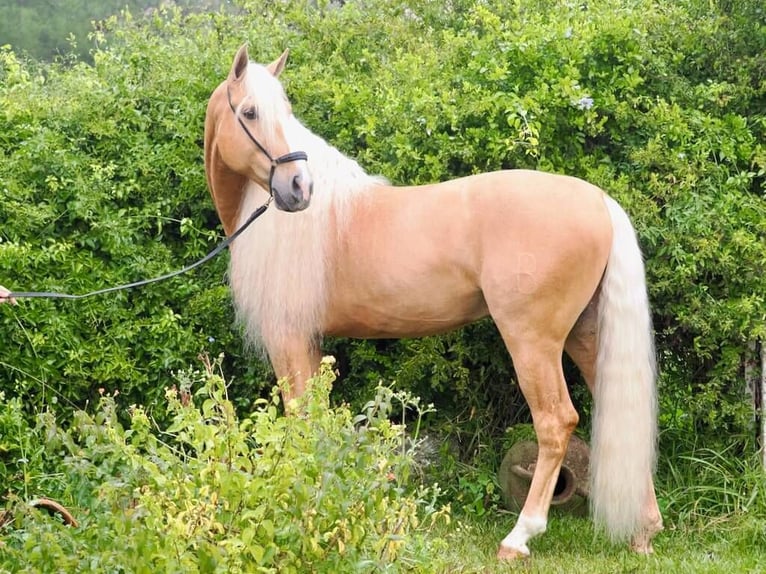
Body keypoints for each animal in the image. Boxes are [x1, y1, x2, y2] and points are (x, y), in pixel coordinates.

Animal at [206, 46, 664, 564]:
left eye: (283, 111)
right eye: (250, 113)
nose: (299, 188)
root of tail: (599, 200)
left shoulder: (286, 336)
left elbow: (300, 418)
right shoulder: (307, 340)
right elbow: (316, 419)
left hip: (533, 342)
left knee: (556, 422)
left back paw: (519, 538)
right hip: (587, 336)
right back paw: (644, 531)